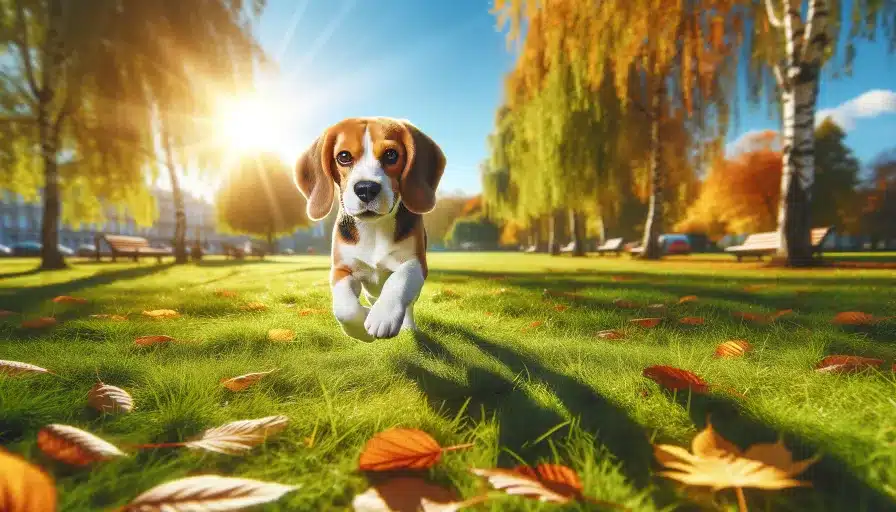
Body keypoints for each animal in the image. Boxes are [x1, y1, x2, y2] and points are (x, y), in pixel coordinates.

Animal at [296, 118, 446, 342]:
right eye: (344, 157)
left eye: (391, 155)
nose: (366, 188)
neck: (373, 227)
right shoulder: (341, 269)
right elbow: (346, 310)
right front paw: (362, 324)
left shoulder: (416, 263)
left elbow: (398, 281)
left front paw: (383, 317)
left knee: (408, 304)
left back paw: (406, 325)